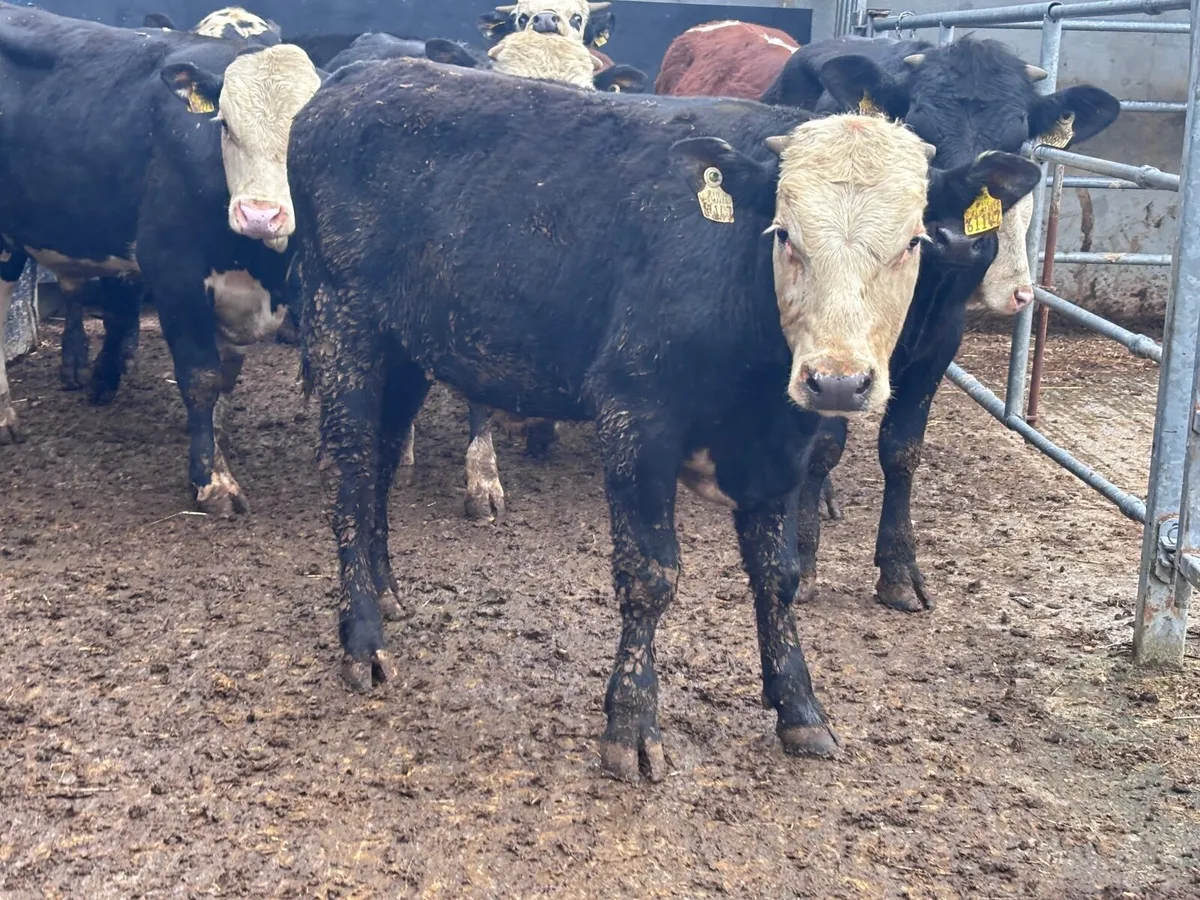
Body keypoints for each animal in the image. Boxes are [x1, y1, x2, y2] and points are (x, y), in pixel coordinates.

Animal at [0, 4, 322, 516]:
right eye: (224, 125)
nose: (259, 214)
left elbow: (226, 376)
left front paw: (216, 445)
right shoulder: (175, 274)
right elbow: (201, 376)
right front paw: (212, 479)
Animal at [287, 56, 1040, 781]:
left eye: (913, 241)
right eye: (783, 234)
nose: (837, 380)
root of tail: (355, 78)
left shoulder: (781, 443)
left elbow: (779, 576)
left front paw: (800, 708)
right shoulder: (635, 415)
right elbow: (649, 576)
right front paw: (631, 726)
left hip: (407, 345)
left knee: (381, 463)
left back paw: (386, 591)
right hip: (340, 320)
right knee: (348, 470)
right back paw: (362, 637)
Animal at [762, 36, 1120, 613]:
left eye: (1016, 139)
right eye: (921, 125)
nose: (957, 239)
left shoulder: (940, 343)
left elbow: (902, 451)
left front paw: (898, 569)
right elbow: (823, 444)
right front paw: (805, 557)